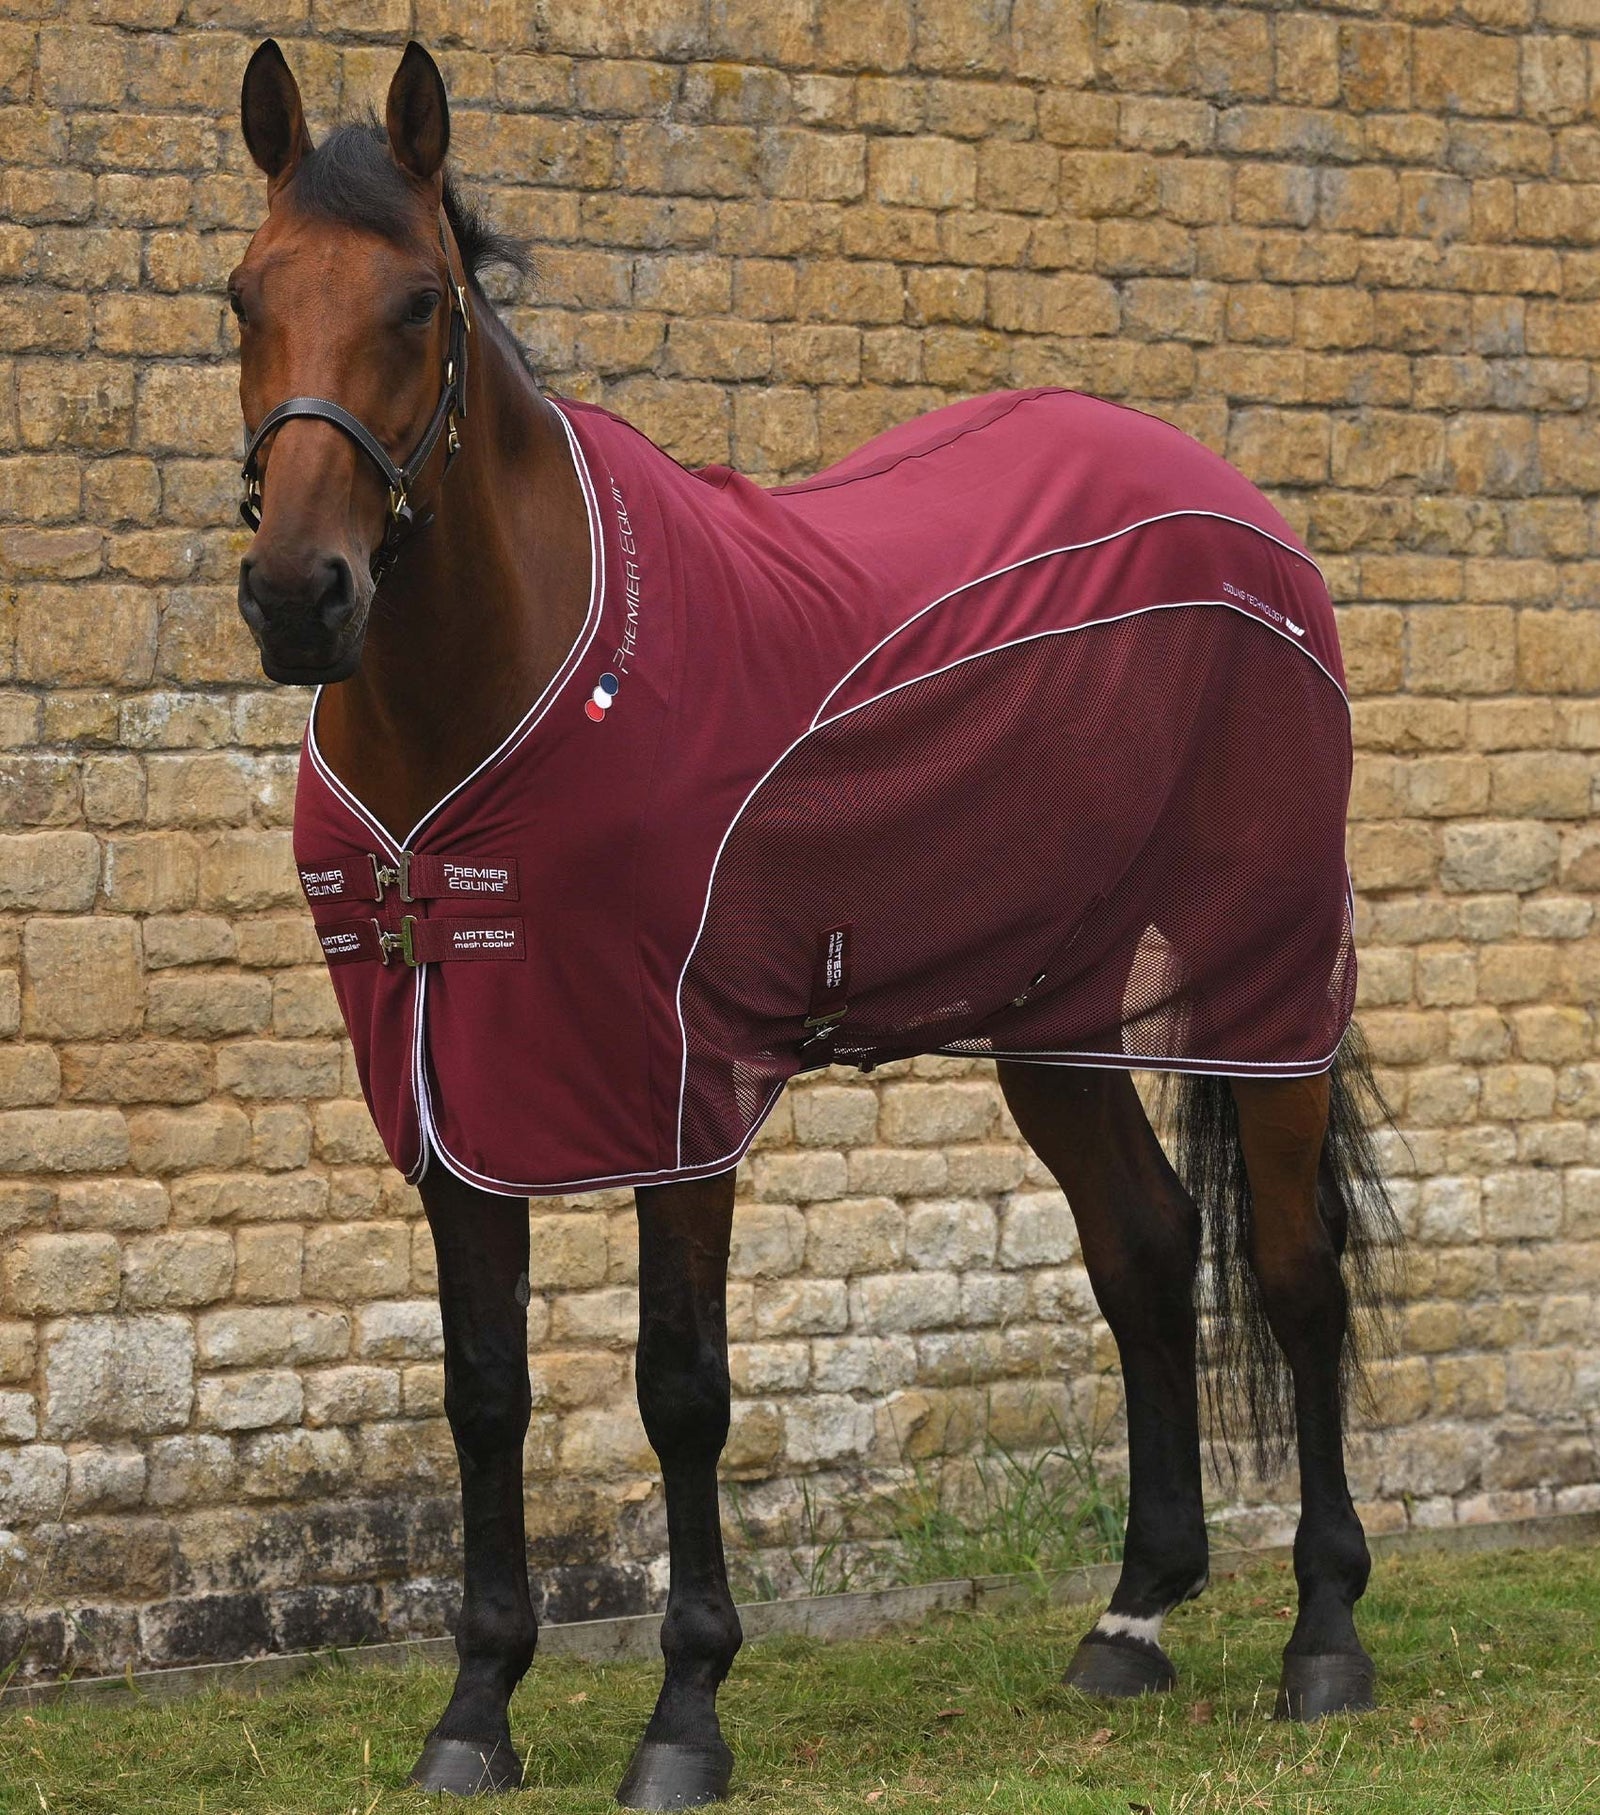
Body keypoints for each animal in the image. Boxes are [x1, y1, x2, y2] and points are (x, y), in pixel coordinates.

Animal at [230, 39, 1397, 1805]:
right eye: (241, 297)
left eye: (420, 303)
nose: (302, 597)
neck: (507, 691)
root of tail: (1241, 514)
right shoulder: (450, 1088)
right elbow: (483, 1386)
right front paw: (475, 1706)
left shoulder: (674, 1082)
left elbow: (680, 1384)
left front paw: (684, 1711)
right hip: (1050, 1011)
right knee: (1137, 1247)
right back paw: (1130, 1616)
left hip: (1263, 996)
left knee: (1289, 1266)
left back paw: (1323, 1636)